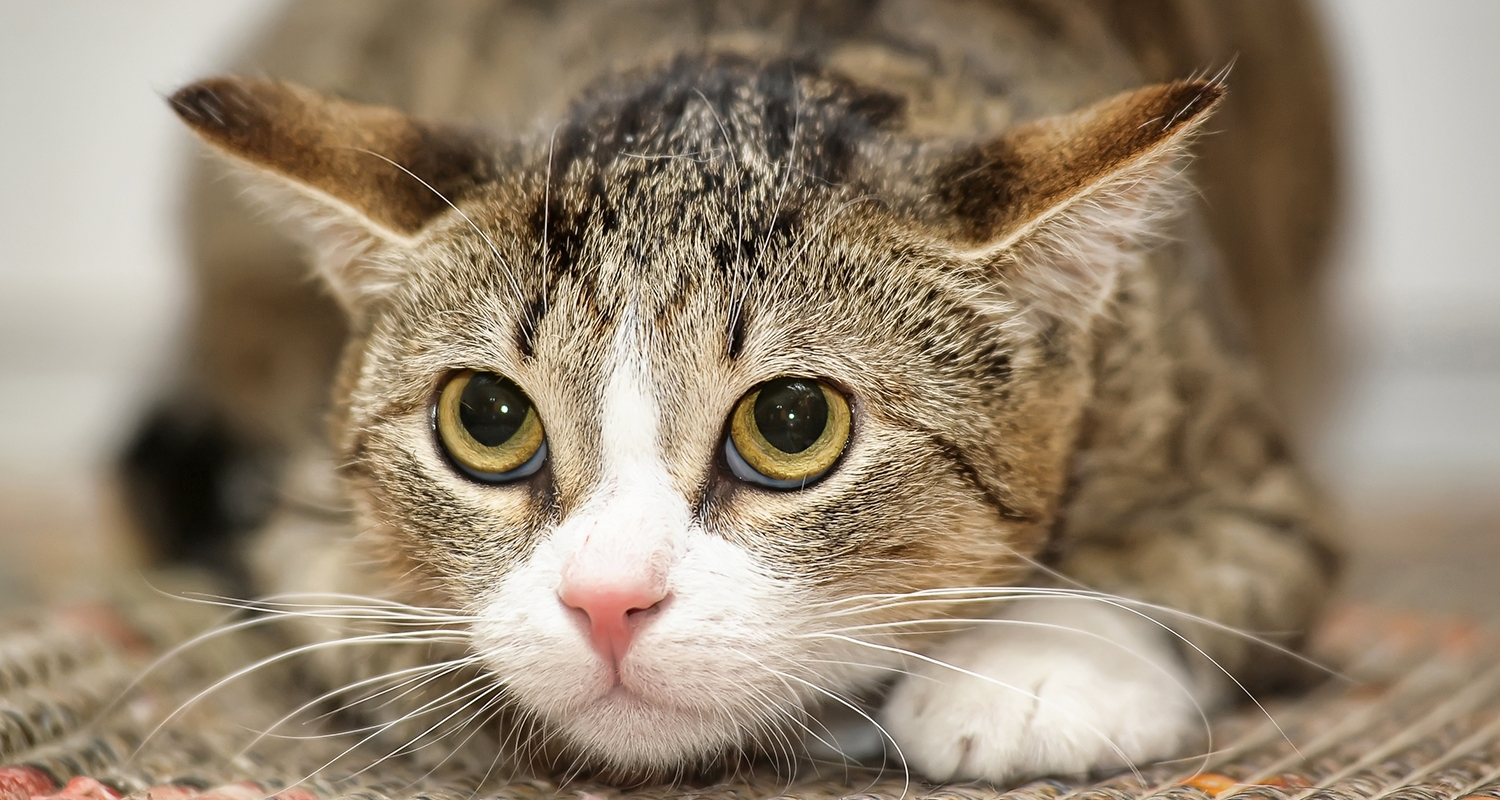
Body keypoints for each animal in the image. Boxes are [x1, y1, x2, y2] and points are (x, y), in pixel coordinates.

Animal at [132, 0, 1350, 786]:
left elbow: (1221, 566)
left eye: (792, 422)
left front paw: (1033, 670)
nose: (608, 601)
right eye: (487, 419)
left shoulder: (1233, 451)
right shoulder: (297, 515)